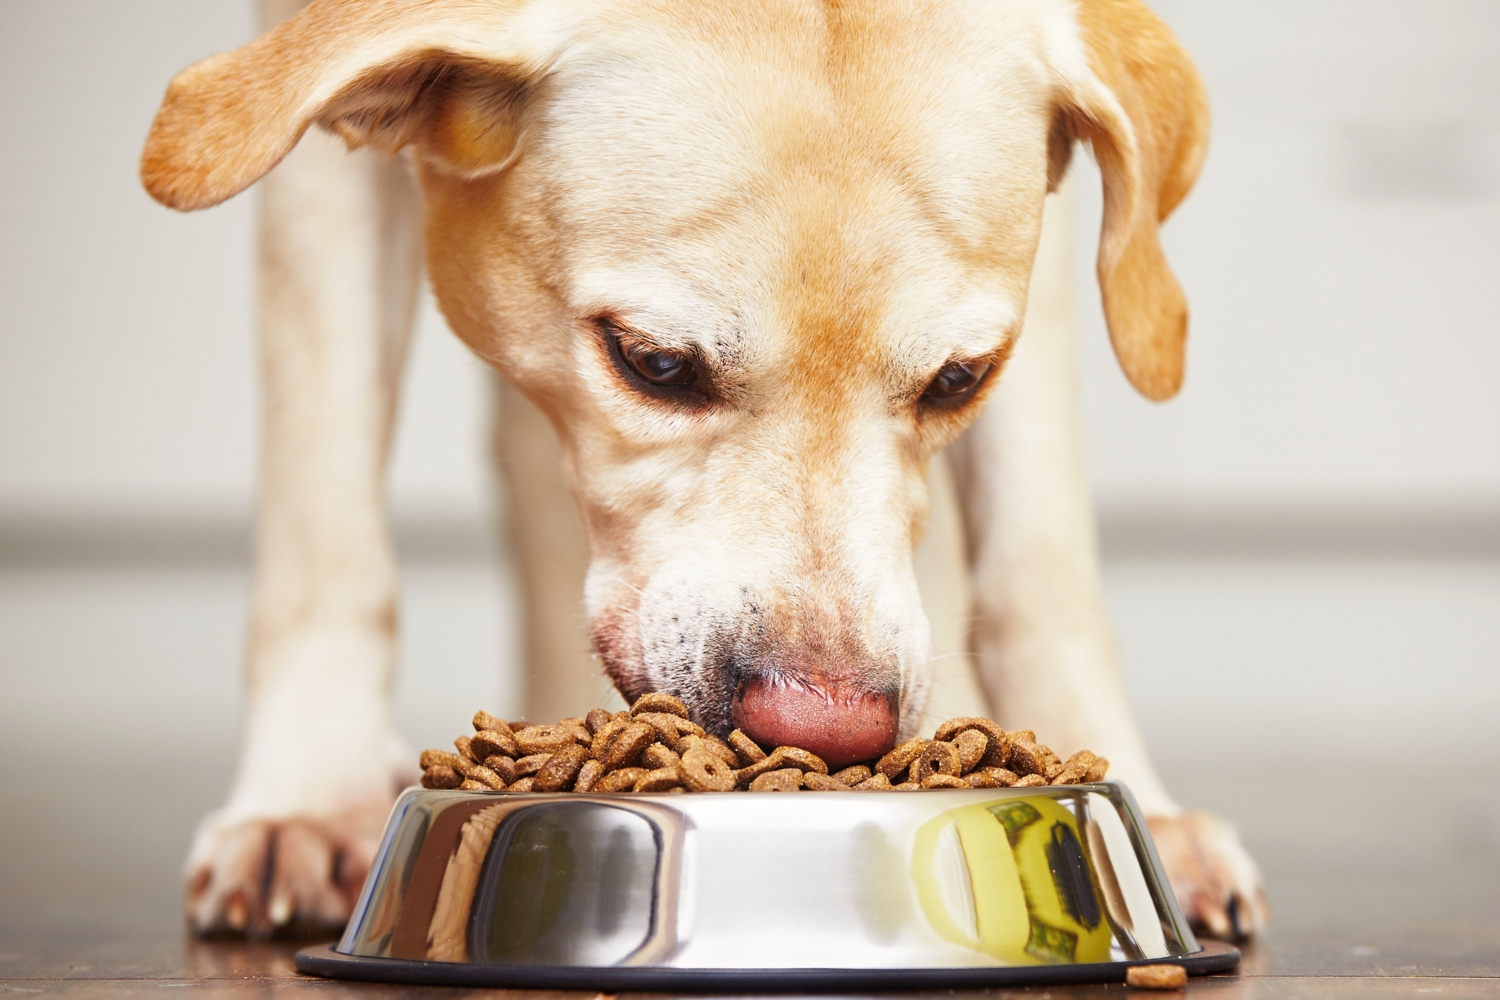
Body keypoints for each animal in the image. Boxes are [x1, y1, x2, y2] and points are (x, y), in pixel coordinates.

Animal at [141, 0, 1266, 941]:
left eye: (959, 378)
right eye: (653, 363)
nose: (826, 726)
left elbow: (1043, 557)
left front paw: (1129, 796)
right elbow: (324, 515)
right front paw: (310, 797)